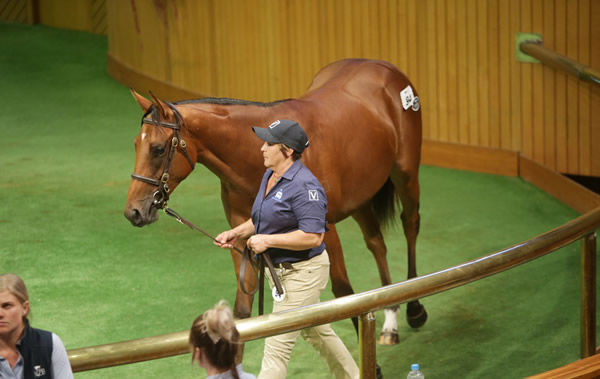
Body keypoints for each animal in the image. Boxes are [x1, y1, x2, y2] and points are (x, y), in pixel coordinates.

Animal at [124, 58, 428, 348]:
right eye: (136, 145)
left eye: (158, 149)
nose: (133, 212)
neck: (259, 155)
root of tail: (384, 68)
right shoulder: (241, 232)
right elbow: (242, 310)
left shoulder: (323, 230)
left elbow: (343, 292)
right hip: (362, 195)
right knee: (377, 243)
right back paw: (390, 320)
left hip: (405, 175)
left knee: (410, 224)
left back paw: (414, 308)